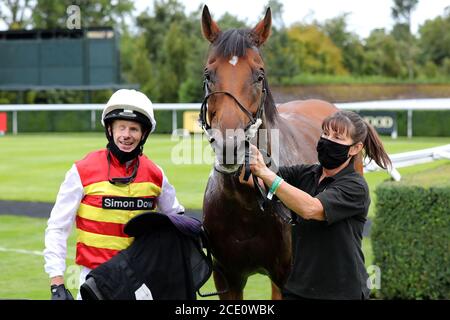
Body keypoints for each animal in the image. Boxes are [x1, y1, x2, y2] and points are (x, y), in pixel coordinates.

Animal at [199, 5, 364, 300]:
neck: (245, 204)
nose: (229, 146)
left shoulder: (284, 277)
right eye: (208, 74)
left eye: (259, 75)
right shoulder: (226, 277)